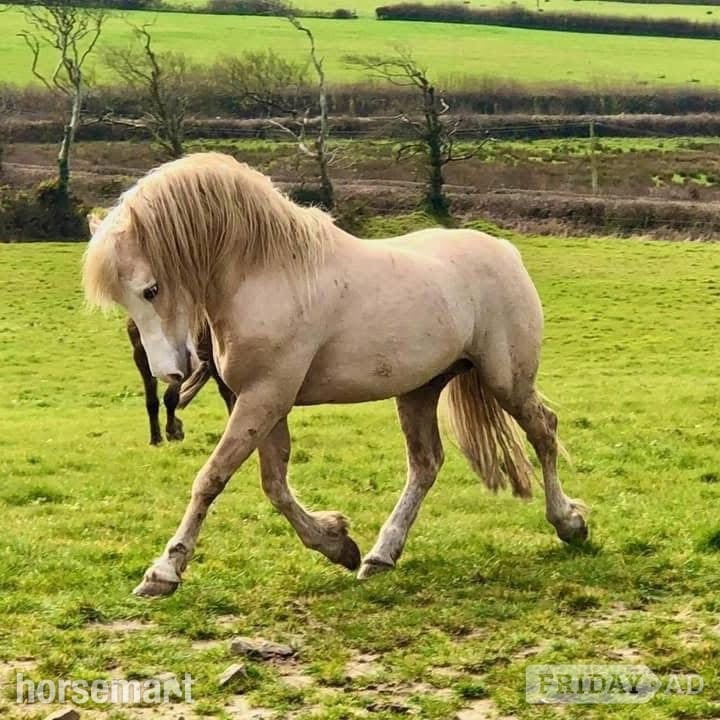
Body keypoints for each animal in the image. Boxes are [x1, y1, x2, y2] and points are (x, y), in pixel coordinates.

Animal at [82, 152, 588, 598]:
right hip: (419, 390)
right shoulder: (264, 402)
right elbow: (274, 486)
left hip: (507, 380)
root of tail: (504, 250)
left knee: (543, 431)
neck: (271, 272)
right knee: (425, 464)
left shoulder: (263, 398)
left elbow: (212, 478)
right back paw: (381, 555)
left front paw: (163, 572)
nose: (169, 372)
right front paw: (337, 543)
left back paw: (569, 523)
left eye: (151, 289)